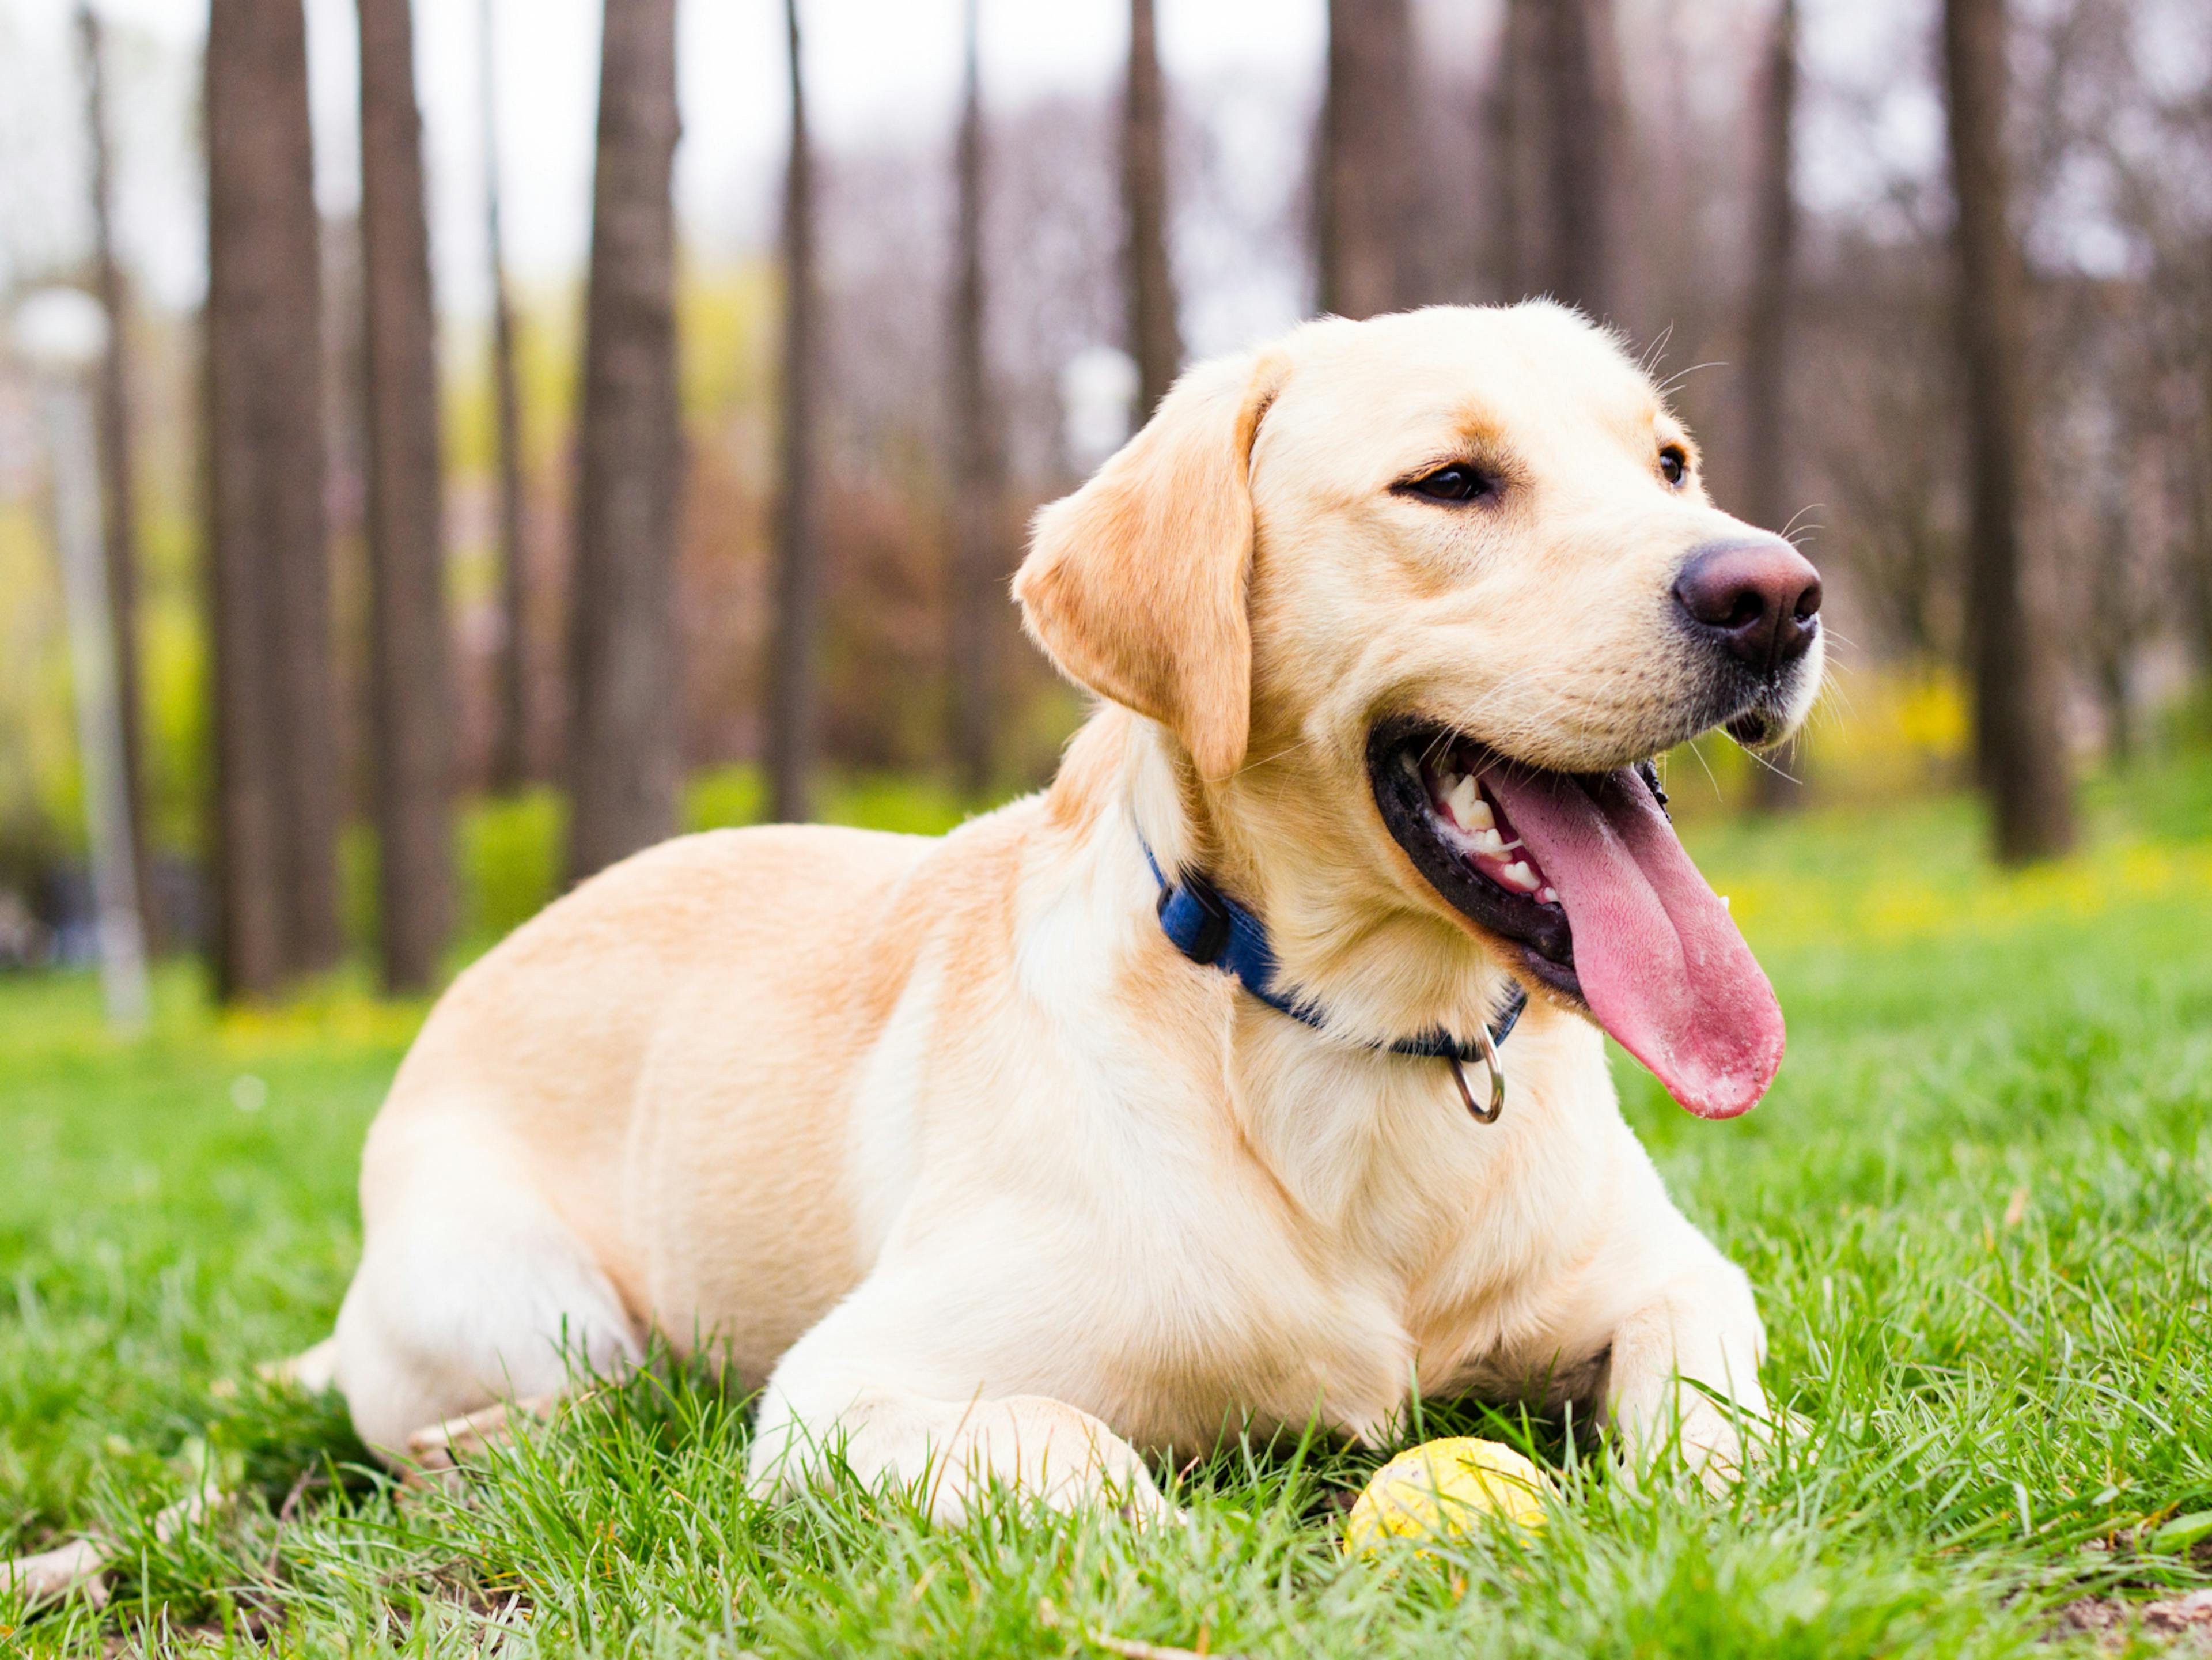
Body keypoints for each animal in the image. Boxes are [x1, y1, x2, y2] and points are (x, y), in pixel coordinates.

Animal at [17, 303, 1823, 1585]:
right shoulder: (855, 1394)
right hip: (543, 1303)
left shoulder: (1674, 1272)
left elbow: (1713, 1396)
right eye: (1451, 483)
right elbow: (1088, 1458)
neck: (1352, 1041)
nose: (1777, 593)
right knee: (513, 1407)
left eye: (1671, 463)